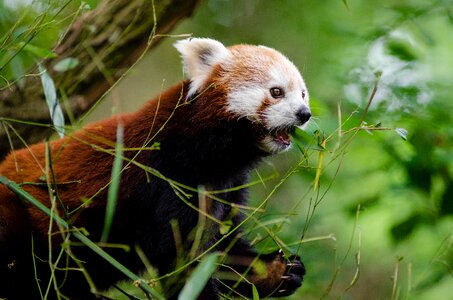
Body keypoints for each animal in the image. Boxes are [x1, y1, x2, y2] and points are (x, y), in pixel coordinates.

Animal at [0, 38, 310, 298]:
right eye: (276, 92)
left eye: (303, 94)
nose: (304, 114)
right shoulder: (170, 177)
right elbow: (183, 261)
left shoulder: (229, 187)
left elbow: (222, 250)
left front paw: (276, 271)